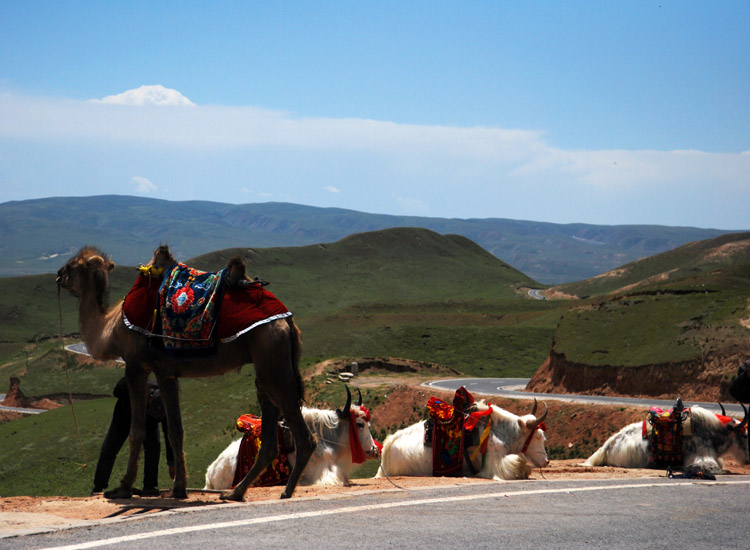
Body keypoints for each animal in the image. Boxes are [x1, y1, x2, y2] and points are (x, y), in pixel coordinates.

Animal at [57, 248, 316, 502]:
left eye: (73, 265)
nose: (59, 275)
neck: (111, 329)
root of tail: (287, 320)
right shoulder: (166, 372)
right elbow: (176, 431)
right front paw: (179, 488)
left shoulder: (135, 365)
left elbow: (137, 430)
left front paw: (122, 489)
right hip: (267, 362)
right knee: (269, 435)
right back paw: (235, 492)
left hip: (270, 352)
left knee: (302, 433)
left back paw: (285, 491)